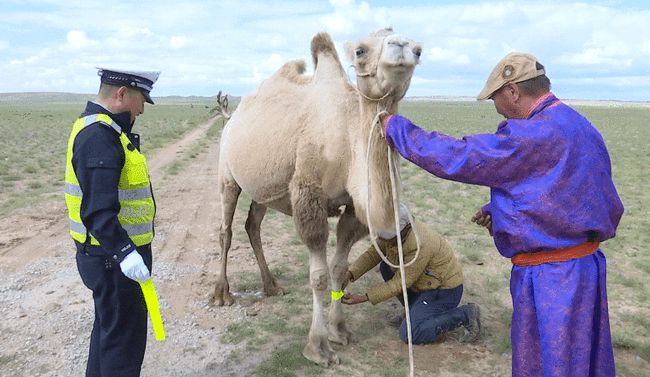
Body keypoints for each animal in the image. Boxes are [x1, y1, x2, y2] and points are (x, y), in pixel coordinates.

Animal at [213, 28, 420, 364]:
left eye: (419, 50)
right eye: (360, 50)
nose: (401, 47)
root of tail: (231, 118)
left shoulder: (353, 208)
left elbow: (340, 269)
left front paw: (340, 331)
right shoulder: (308, 193)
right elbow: (319, 275)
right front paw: (318, 346)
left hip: (264, 189)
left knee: (252, 225)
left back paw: (272, 286)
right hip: (227, 171)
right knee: (226, 230)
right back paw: (222, 293)